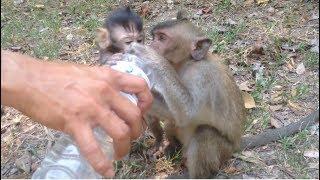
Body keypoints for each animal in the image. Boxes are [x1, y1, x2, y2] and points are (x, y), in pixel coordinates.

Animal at [127, 11, 245, 178]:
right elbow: (173, 113)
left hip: (223, 151)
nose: (151, 45)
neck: (187, 62)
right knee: (172, 122)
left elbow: (187, 112)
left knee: (204, 133)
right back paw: (172, 147)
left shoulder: (201, 75)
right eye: (154, 37)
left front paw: (149, 56)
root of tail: (236, 146)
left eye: (162, 38)